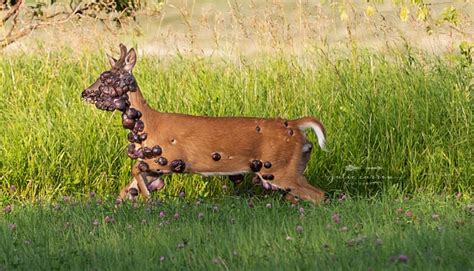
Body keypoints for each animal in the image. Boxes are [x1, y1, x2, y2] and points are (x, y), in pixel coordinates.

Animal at [80, 44, 326, 205]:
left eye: (107, 78)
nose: (85, 93)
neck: (148, 124)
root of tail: (296, 125)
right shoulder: (154, 165)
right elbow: (124, 189)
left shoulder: (168, 157)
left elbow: (133, 170)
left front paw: (148, 198)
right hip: (291, 167)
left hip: (279, 168)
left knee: (320, 195)